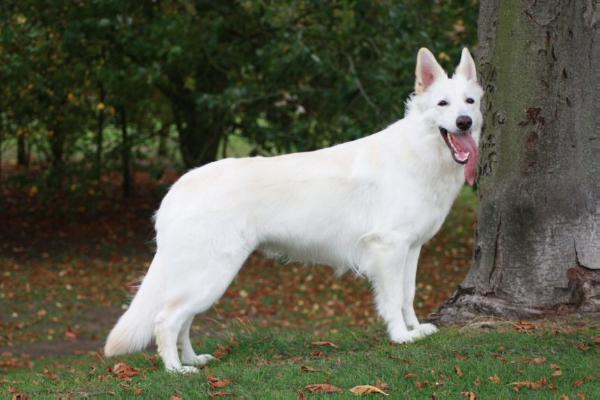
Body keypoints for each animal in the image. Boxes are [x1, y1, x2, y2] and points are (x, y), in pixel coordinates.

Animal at [105, 48, 486, 374]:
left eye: (469, 102)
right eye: (442, 103)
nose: (464, 122)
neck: (422, 152)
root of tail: (179, 188)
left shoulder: (411, 249)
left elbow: (408, 295)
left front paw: (415, 328)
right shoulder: (388, 250)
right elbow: (392, 300)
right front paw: (400, 336)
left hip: (203, 278)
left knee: (182, 319)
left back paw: (193, 359)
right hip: (212, 274)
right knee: (166, 320)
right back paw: (176, 370)